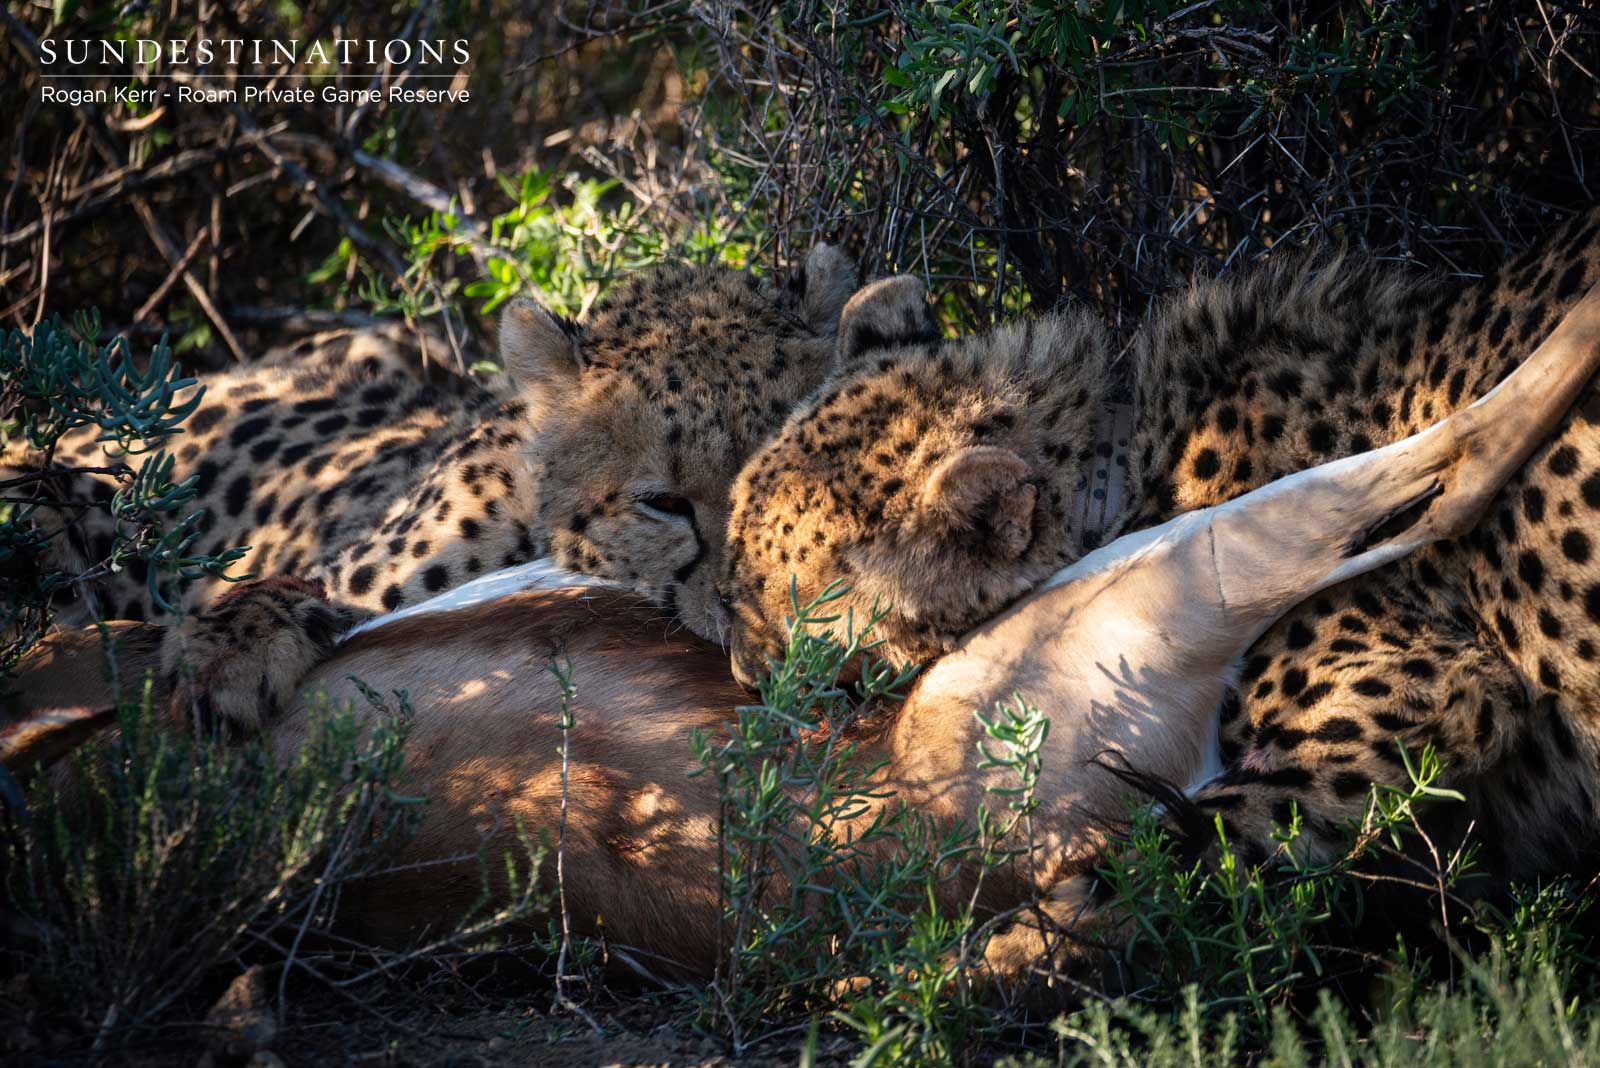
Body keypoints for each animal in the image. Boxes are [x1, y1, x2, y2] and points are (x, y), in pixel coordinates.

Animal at [719, 206, 1600, 975]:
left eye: (775, 610)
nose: (738, 674)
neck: (1114, 467)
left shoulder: (1407, 709)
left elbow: (1140, 882)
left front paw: (912, 984)